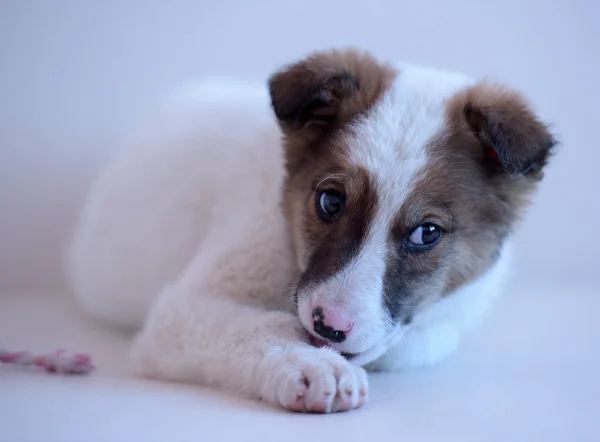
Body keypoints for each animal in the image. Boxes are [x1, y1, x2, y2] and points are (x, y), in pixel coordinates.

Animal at [69, 49, 556, 414]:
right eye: (330, 202)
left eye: (427, 233)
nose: (329, 327)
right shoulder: (181, 310)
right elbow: (260, 325)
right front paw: (312, 366)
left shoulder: (439, 324)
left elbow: (408, 342)